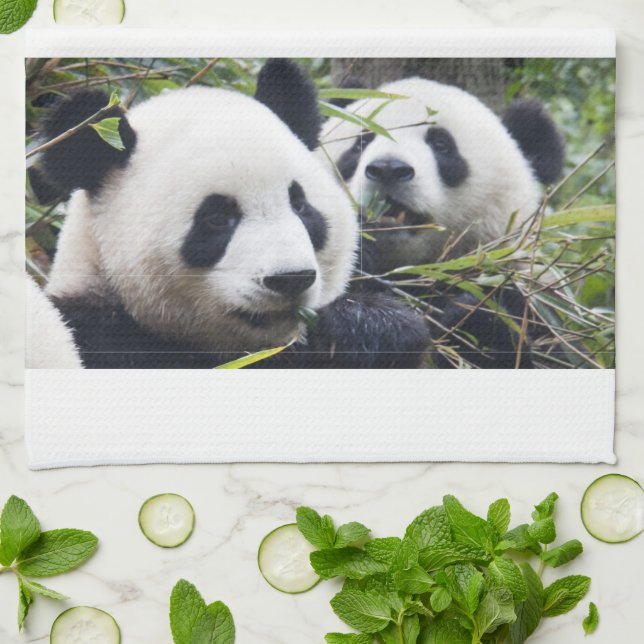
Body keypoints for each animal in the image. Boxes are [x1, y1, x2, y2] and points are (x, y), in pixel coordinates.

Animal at [320, 77, 565, 368]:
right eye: (361, 142)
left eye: (442, 146)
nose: (388, 168)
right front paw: (373, 324)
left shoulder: (534, 301)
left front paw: (476, 324)